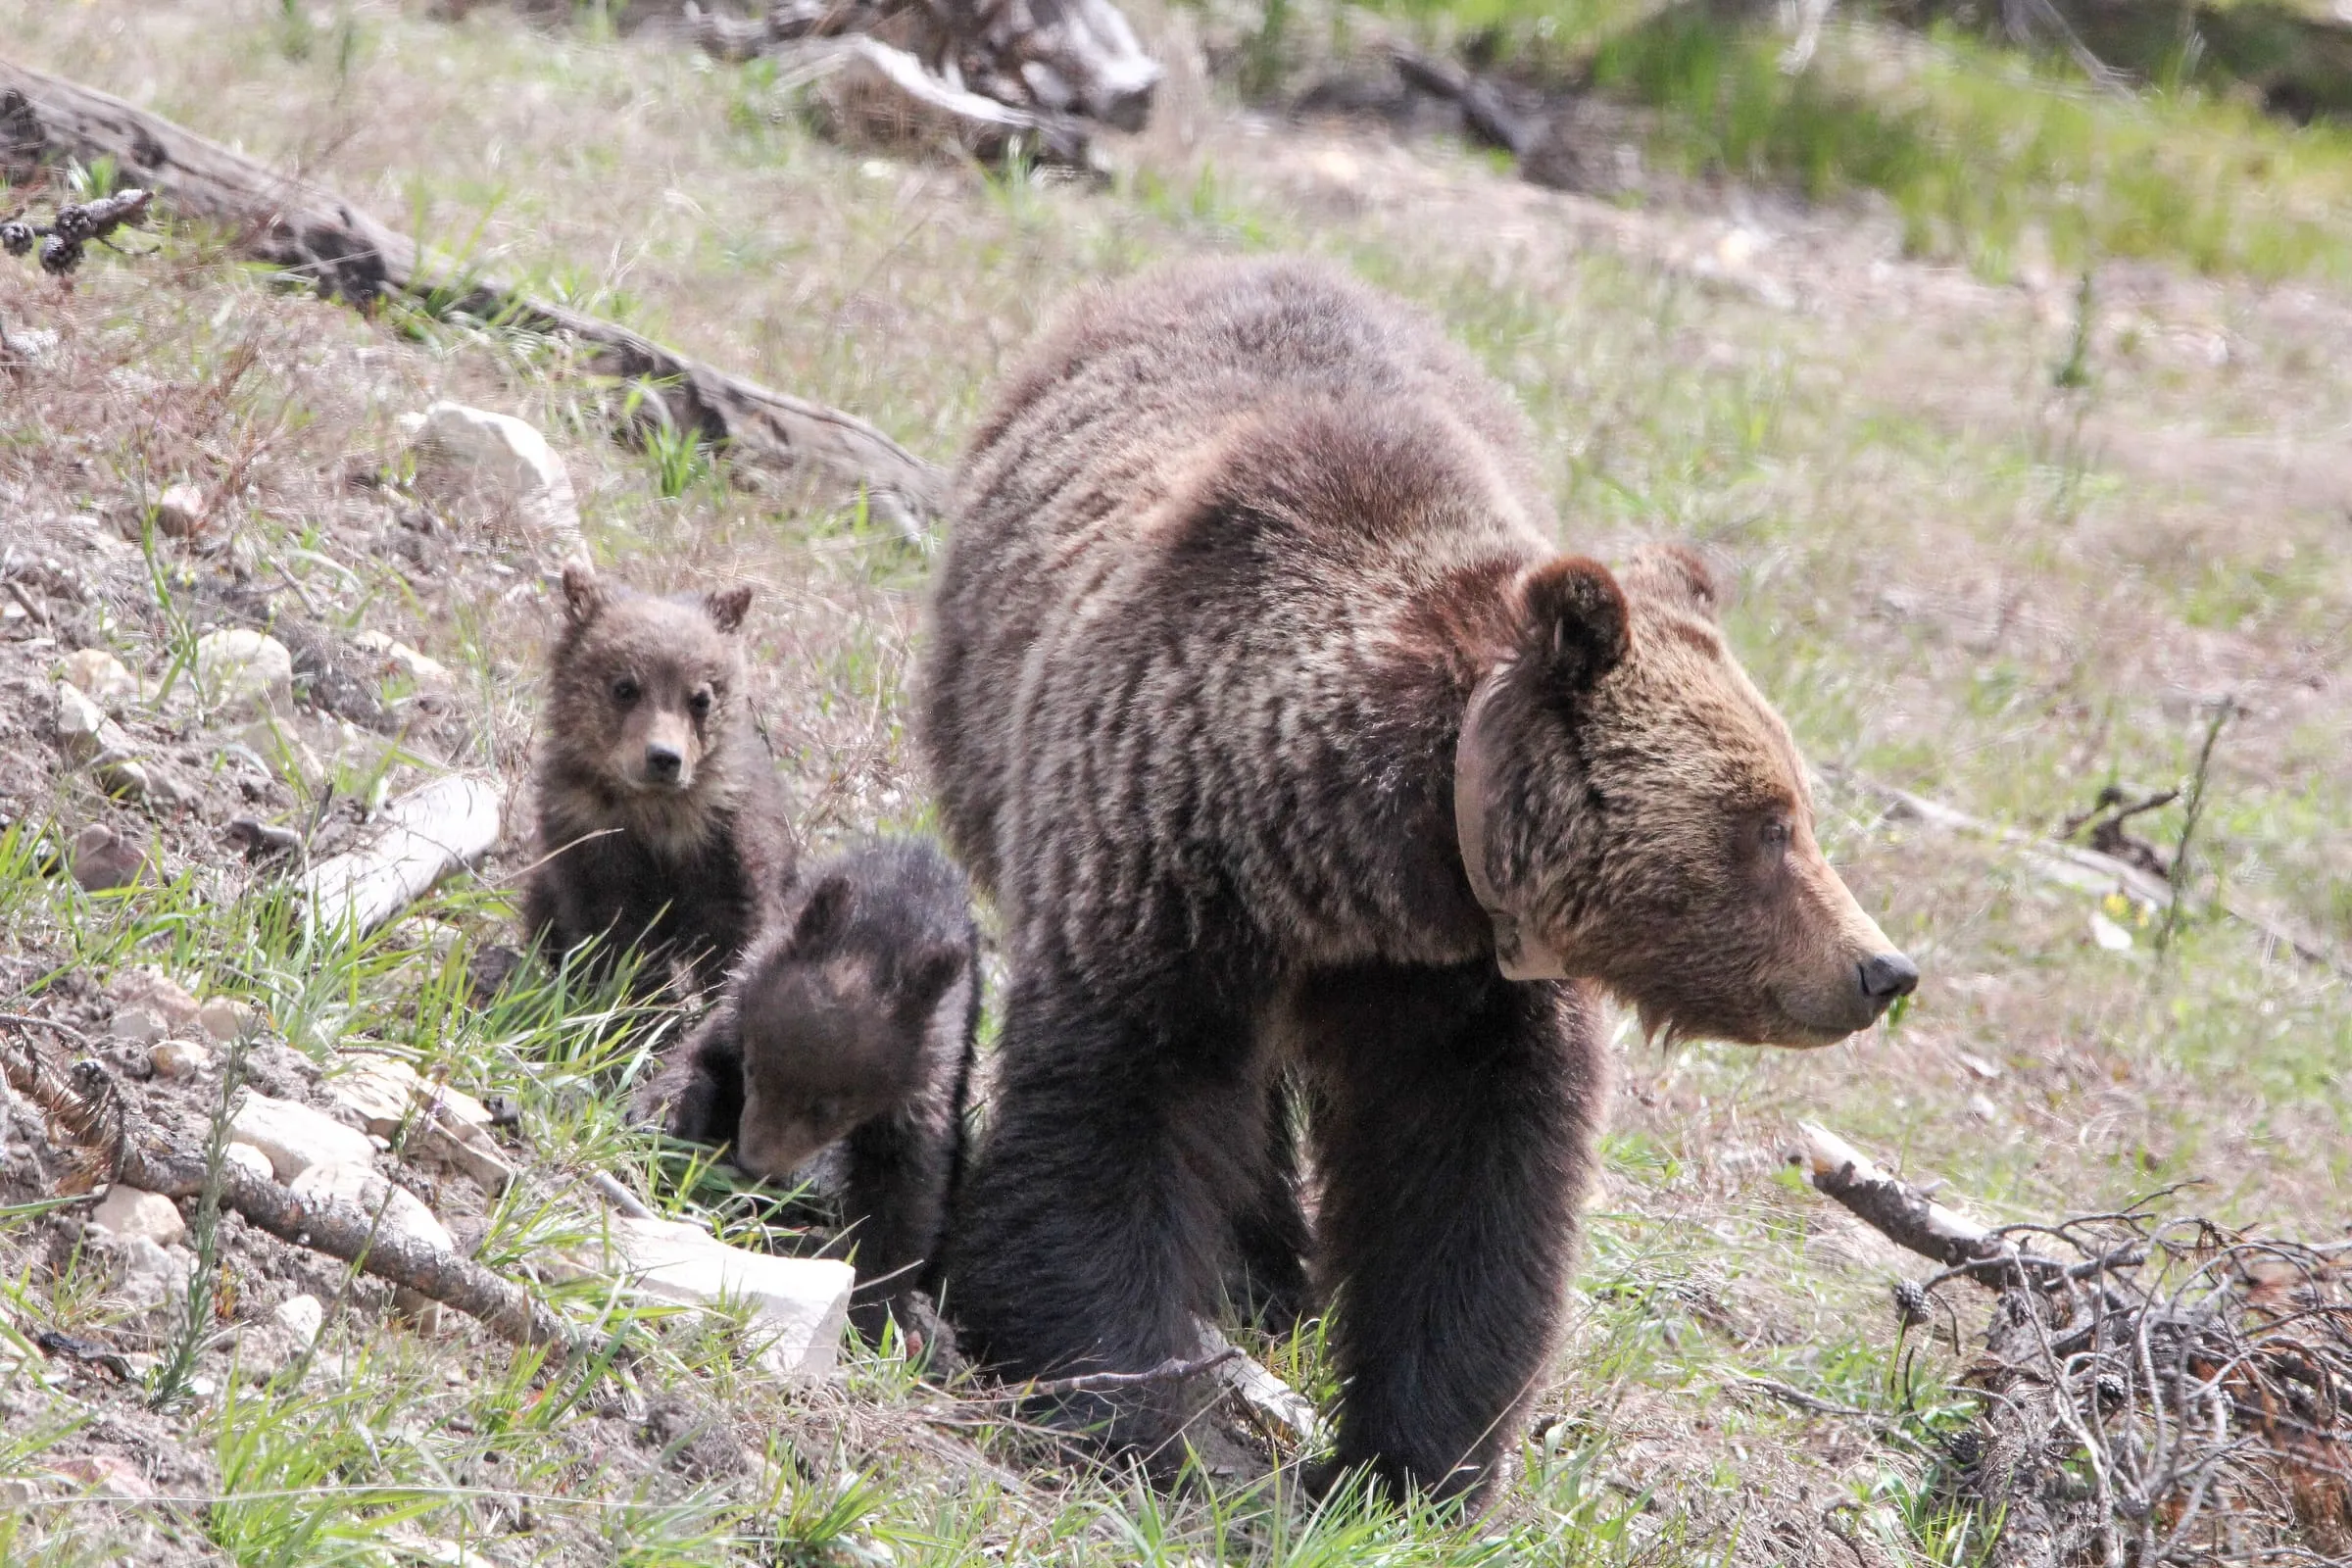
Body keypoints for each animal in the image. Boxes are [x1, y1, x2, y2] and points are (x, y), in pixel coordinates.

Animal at [522, 564, 799, 995]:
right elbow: (612, 930)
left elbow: (737, 926)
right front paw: (634, 1000)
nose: (664, 757)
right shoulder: (590, 828)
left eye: (701, 698)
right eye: (624, 687)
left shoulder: (723, 832)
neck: (655, 811)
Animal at [633, 836, 980, 1345]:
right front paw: (659, 1117)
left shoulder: (921, 1092)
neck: (883, 934)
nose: (755, 1164)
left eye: (829, 1109)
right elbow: (700, 1058)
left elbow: (903, 1199)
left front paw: (873, 1309)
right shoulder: (743, 996)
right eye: (754, 1069)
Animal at [919, 256, 1917, 1503]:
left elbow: (1469, 1190)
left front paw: (1414, 1462)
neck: (1356, 868)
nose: (1882, 966)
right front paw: (1127, 1408)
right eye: (1769, 824)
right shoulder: (1161, 866)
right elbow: (1113, 1111)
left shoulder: (1473, 990)